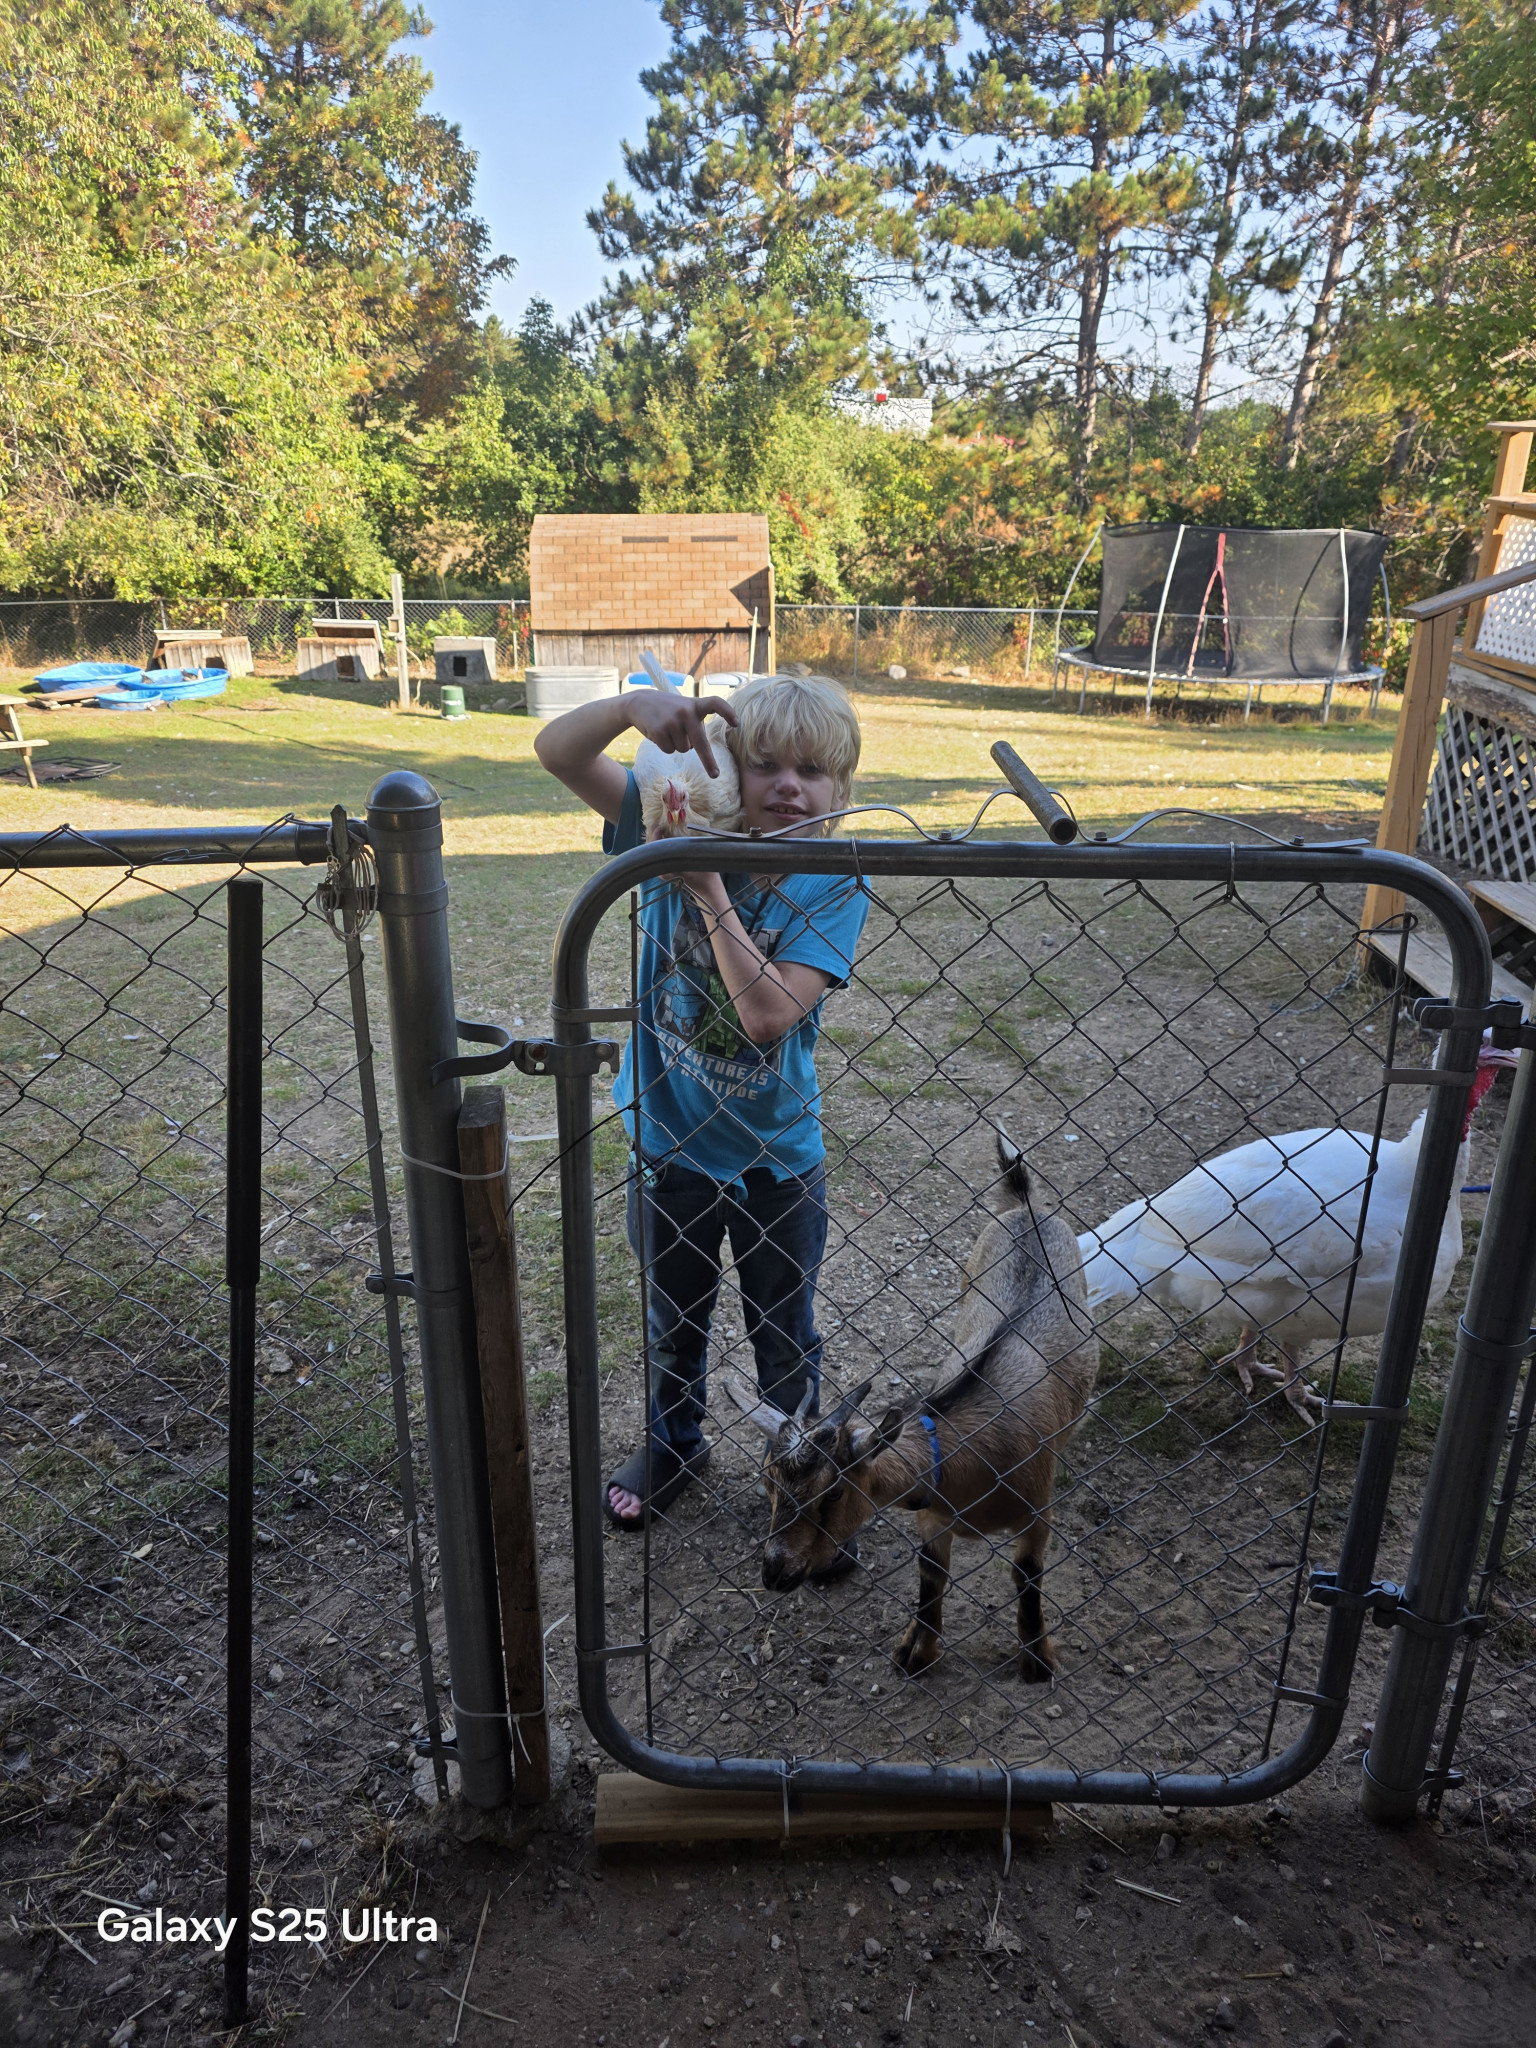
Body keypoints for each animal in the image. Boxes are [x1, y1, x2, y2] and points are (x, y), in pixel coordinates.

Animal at [726, 1131, 1098, 1681]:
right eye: (769, 1482)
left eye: (833, 1493)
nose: (775, 1573)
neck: (970, 1468)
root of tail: (1026, 1204)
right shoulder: (932, 1519)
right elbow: (930, 1578)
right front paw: (915, 1654)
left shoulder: (1037, 1512)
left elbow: (1026, 1577)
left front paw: (1037, 1662)